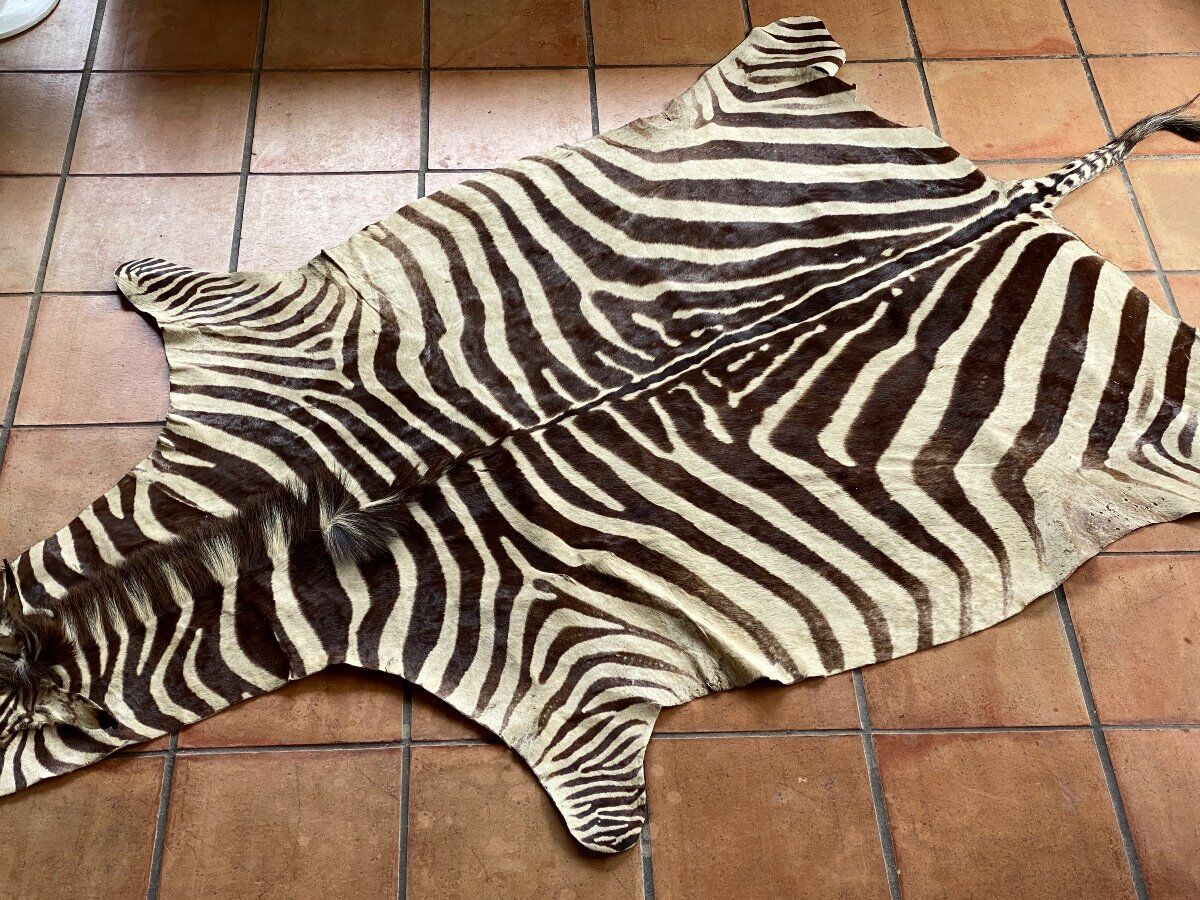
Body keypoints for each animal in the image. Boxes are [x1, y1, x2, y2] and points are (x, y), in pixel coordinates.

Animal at [2, 16, 1199, 853]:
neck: (298, 525)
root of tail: (995, 203)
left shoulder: (564, 659)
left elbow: (598, 798)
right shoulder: (259, 353)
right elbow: (178, 291)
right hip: (769, 88)